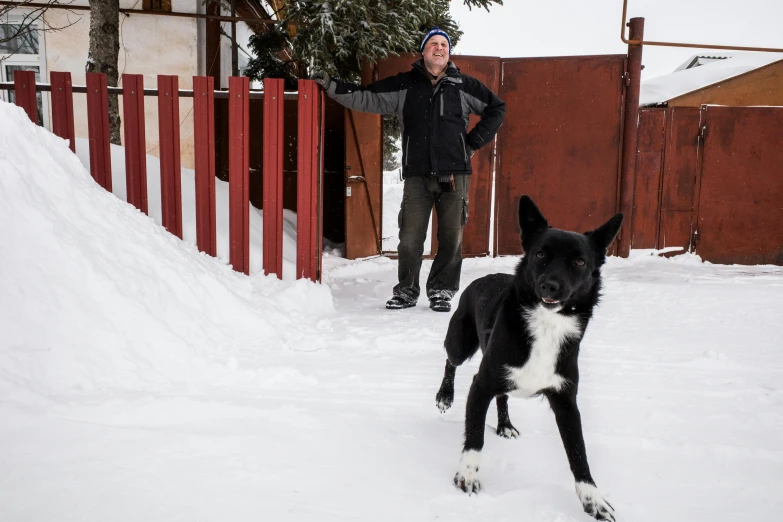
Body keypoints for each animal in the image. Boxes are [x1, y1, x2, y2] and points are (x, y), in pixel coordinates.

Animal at [438, 196, 620, 520]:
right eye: (540, 254)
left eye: (580, 261)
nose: (550, 286)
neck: (546, 325)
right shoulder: (481, 384)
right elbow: (475, 437)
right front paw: (467, 475)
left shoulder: (566, 401)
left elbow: (579, 453)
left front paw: (593, 499)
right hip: (461, 342)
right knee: (450, 360)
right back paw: (445, 396)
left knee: (503, 396)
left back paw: (505, 424)